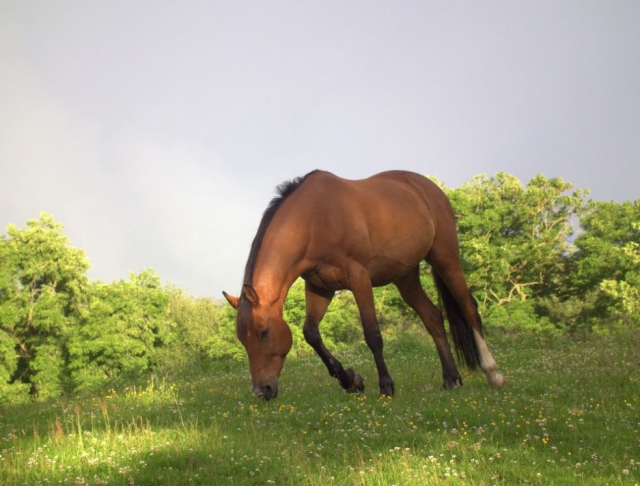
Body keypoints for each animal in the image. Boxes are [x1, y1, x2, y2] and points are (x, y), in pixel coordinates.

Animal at [223, 170, 506, 400]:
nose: (262, 391)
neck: (315, 219)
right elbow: (311, 333)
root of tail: (430, 188)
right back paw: (451, 379)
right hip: (406, 277)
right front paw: (351, 381)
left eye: (263, 332)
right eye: (242, 340)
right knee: (433, 317)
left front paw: (386, 386)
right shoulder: (319, 287)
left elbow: (372, 334)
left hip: (446, 260)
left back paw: (493, 374)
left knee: (469, 309)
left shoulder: (359, 278)